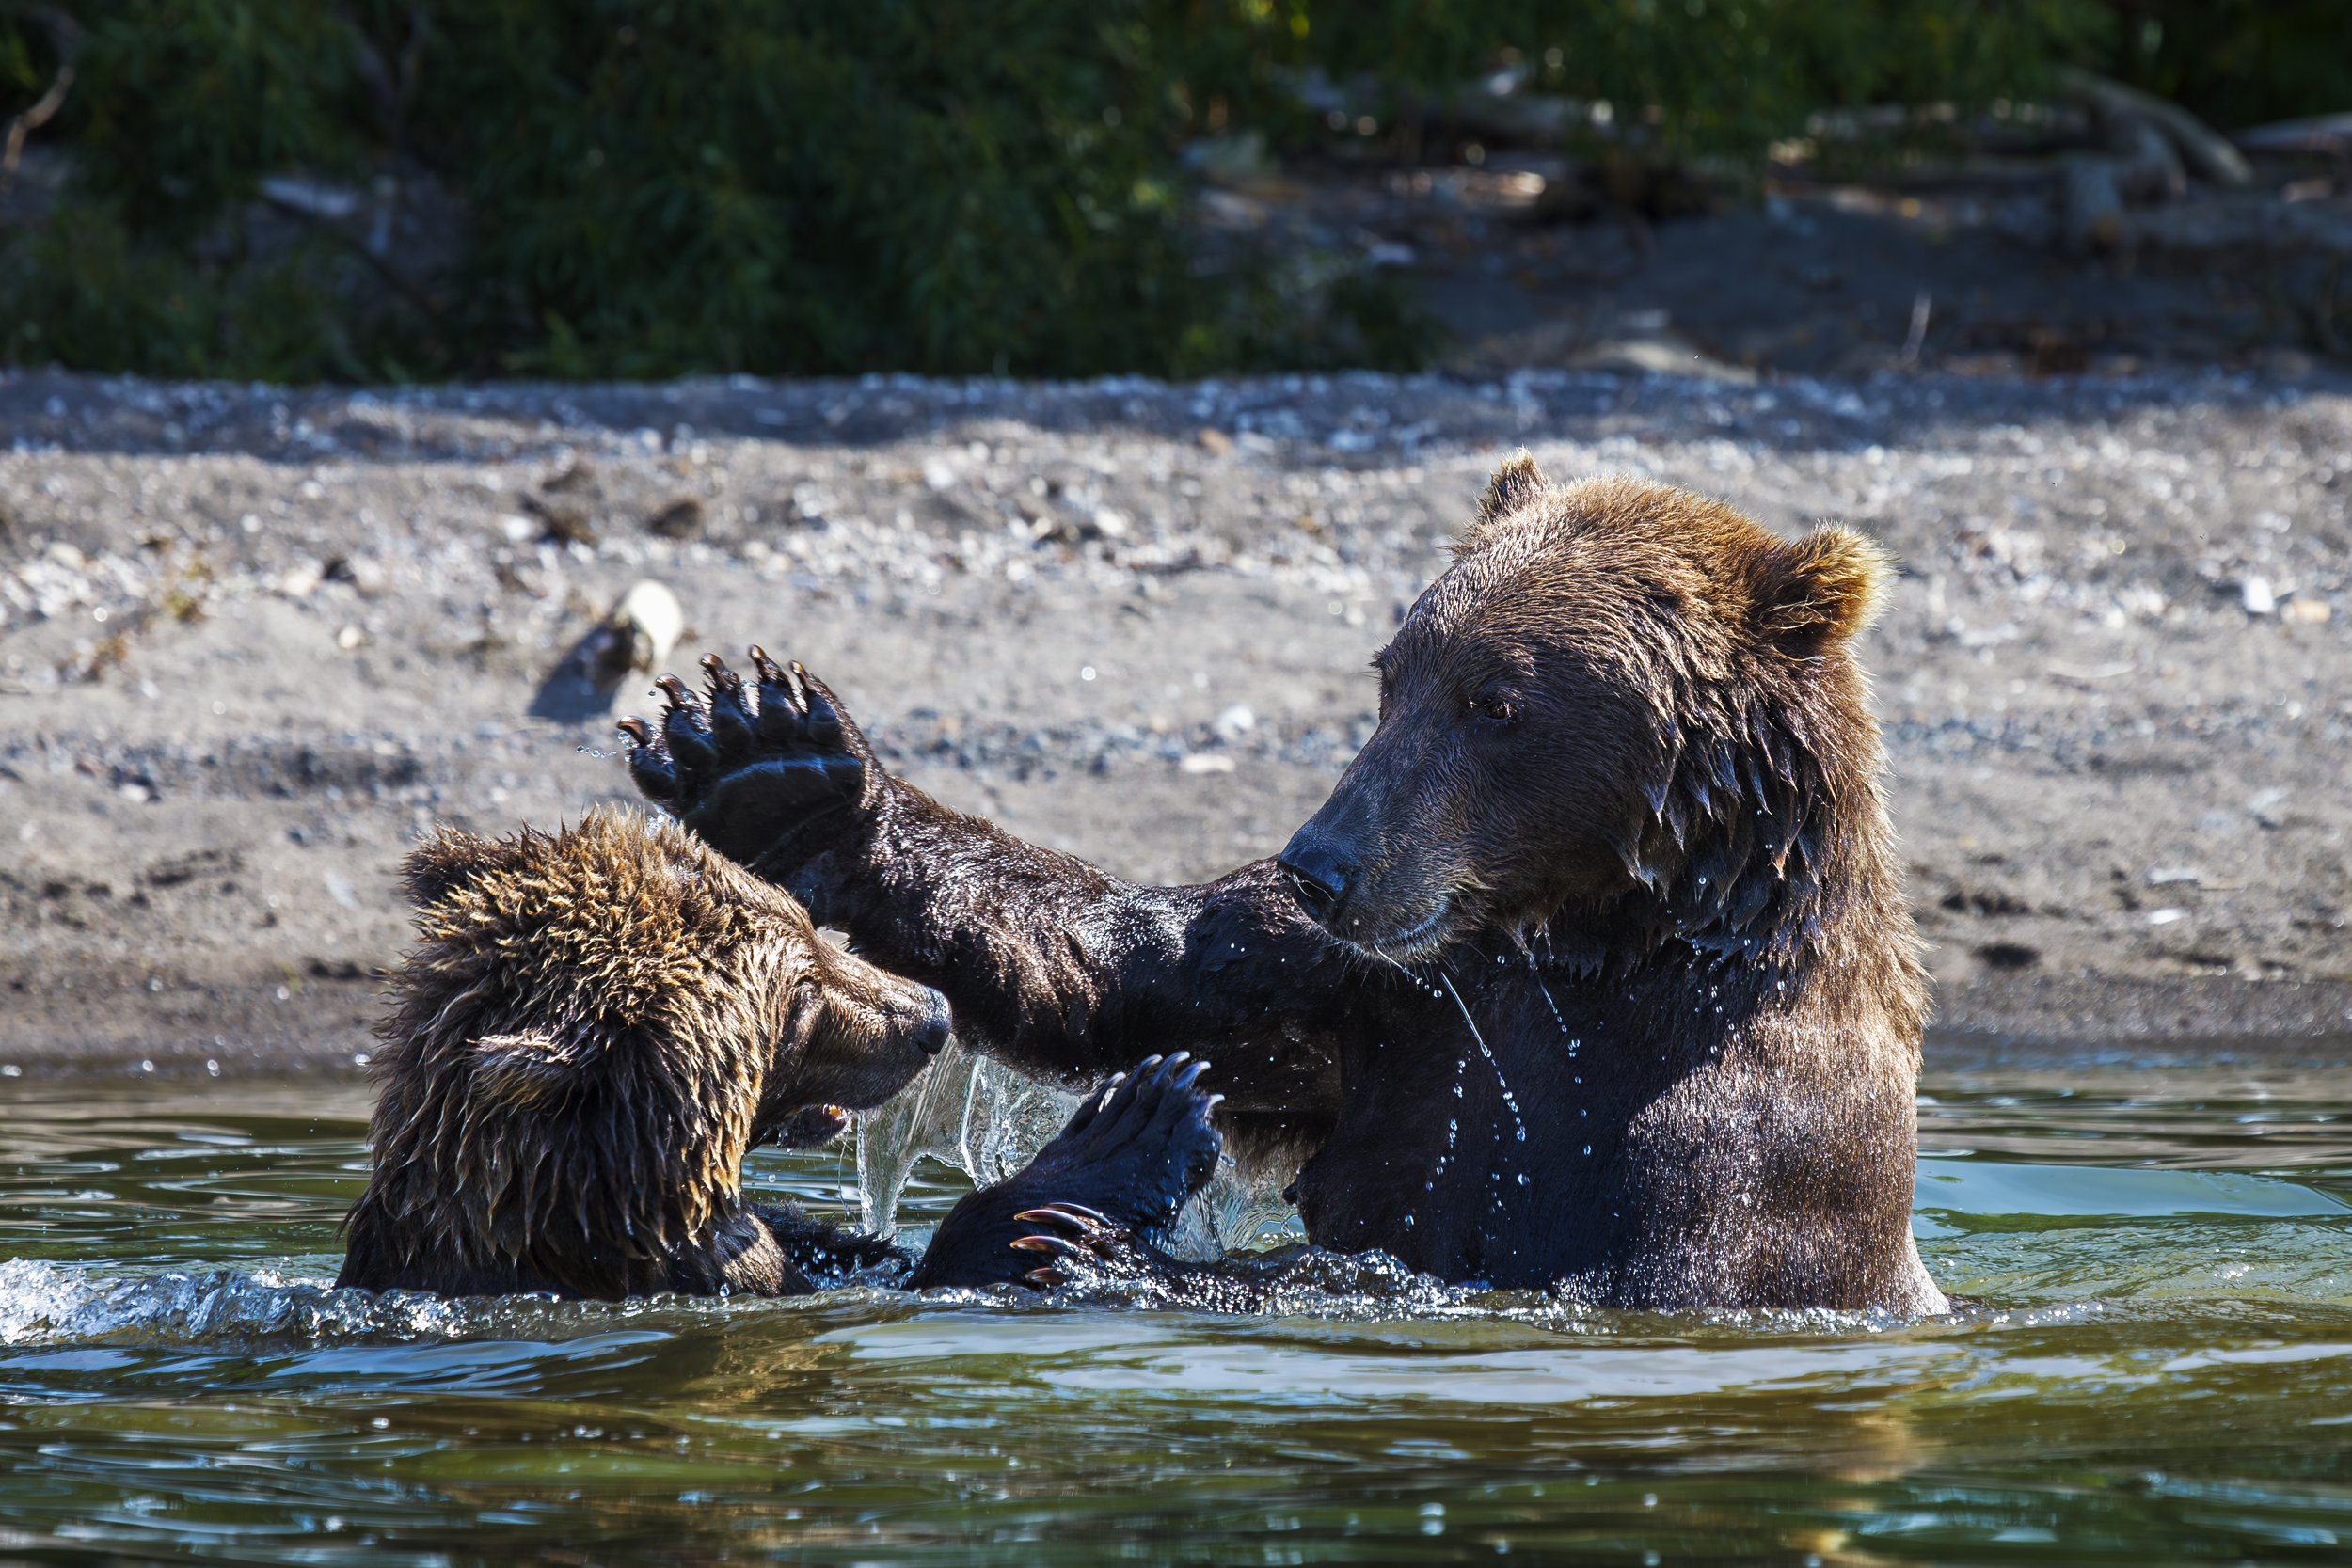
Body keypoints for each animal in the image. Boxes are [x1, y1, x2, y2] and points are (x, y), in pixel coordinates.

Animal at [621, 463, 1947, 1316]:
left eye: (1497, 701)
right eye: (1393, 670)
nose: (1321, 861)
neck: (1609, 943)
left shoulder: (1741, 1136)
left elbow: (1565, 1274)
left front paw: (1096, 1240)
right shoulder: (1387, 993)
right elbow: (1125, 970)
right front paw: (774, 766)